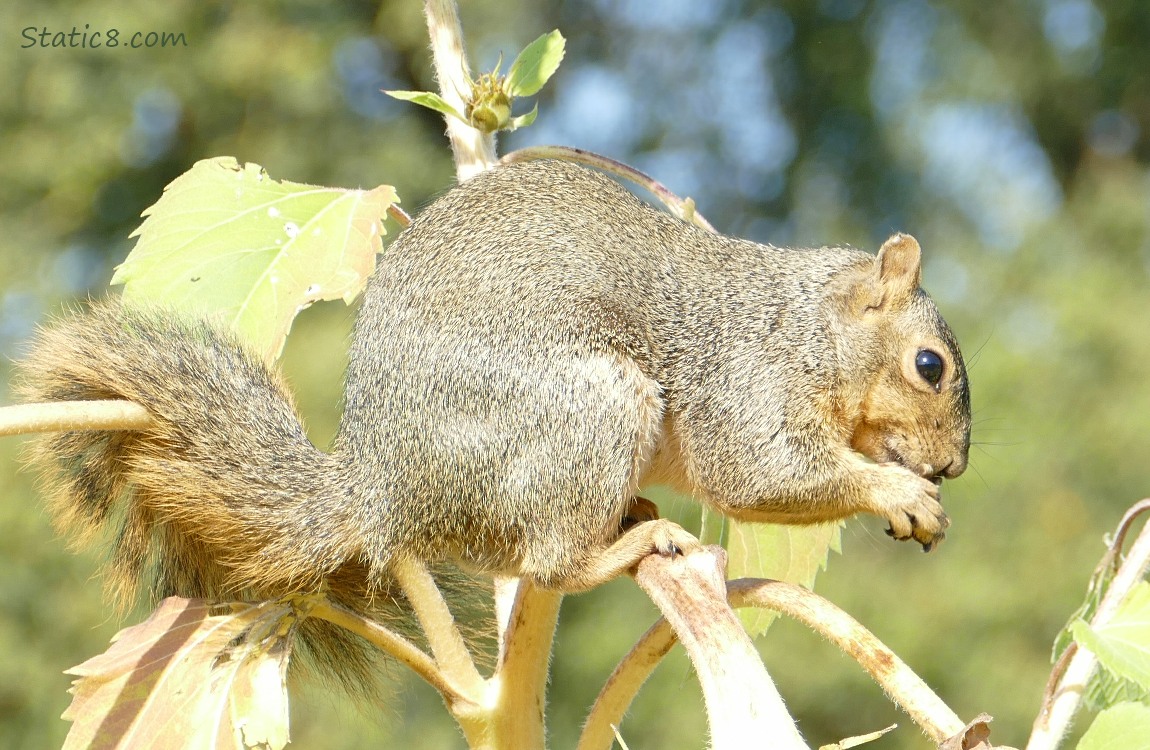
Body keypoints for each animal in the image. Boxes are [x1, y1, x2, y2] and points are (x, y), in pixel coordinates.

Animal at [15, 159, 970, 685]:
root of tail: (381, 491)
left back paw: (635, 514)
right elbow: (759, 474)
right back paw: (628, 541)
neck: (807, 326)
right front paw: (898, 493)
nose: (954, 467)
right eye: (930, 366)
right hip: (590, 410)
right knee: (549, 561)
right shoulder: (748, 384)